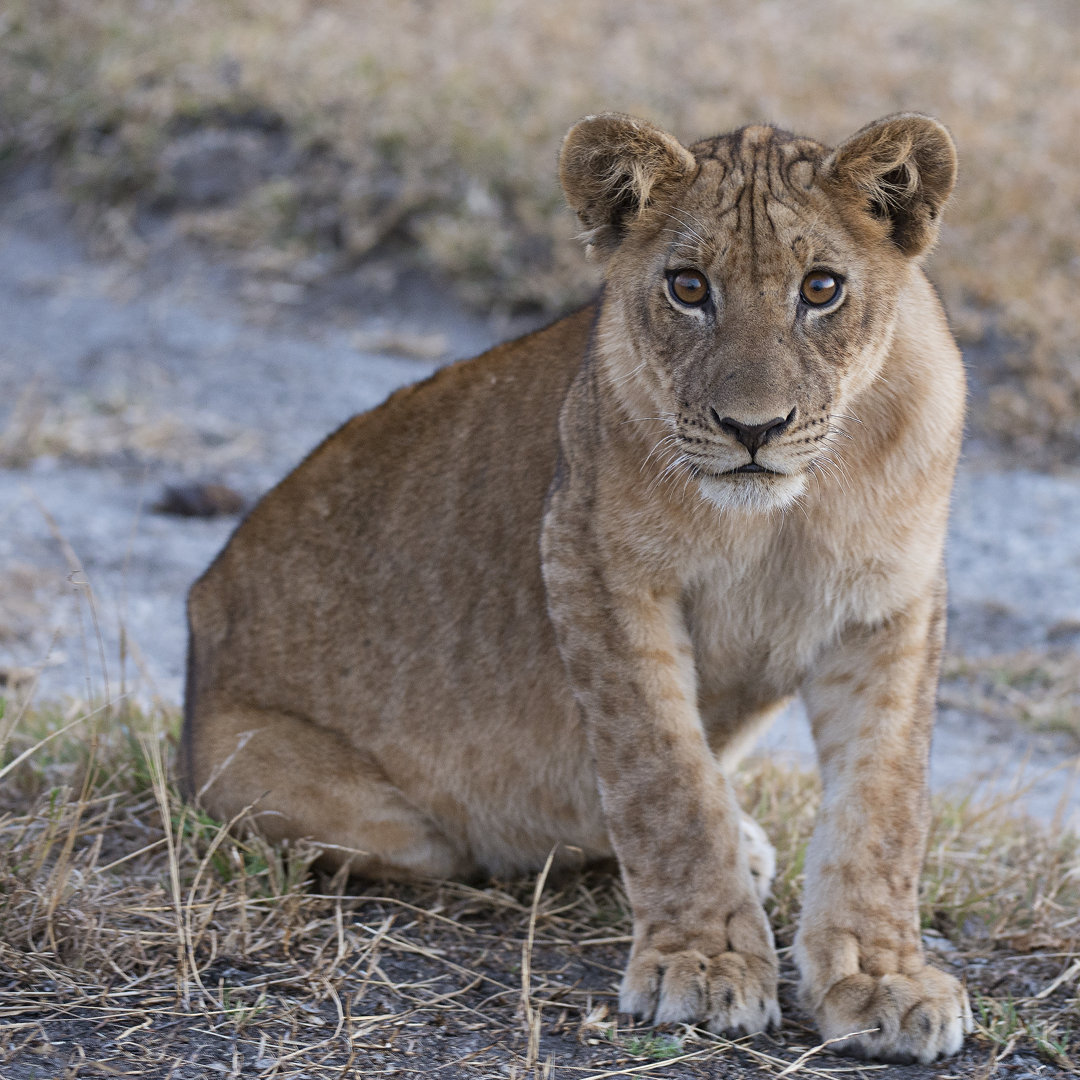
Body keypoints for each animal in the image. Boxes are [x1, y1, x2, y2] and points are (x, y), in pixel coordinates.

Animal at [181, 111, 976, 1062]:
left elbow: (884, 804)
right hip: (365, 818)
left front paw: (883, 978)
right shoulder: (592, 563)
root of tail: (202, 609)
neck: (786, 512)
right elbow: (664, 778)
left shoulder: (891, 603)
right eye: (688, 286)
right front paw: (703, 963)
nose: (753, 429)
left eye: (821, 288)